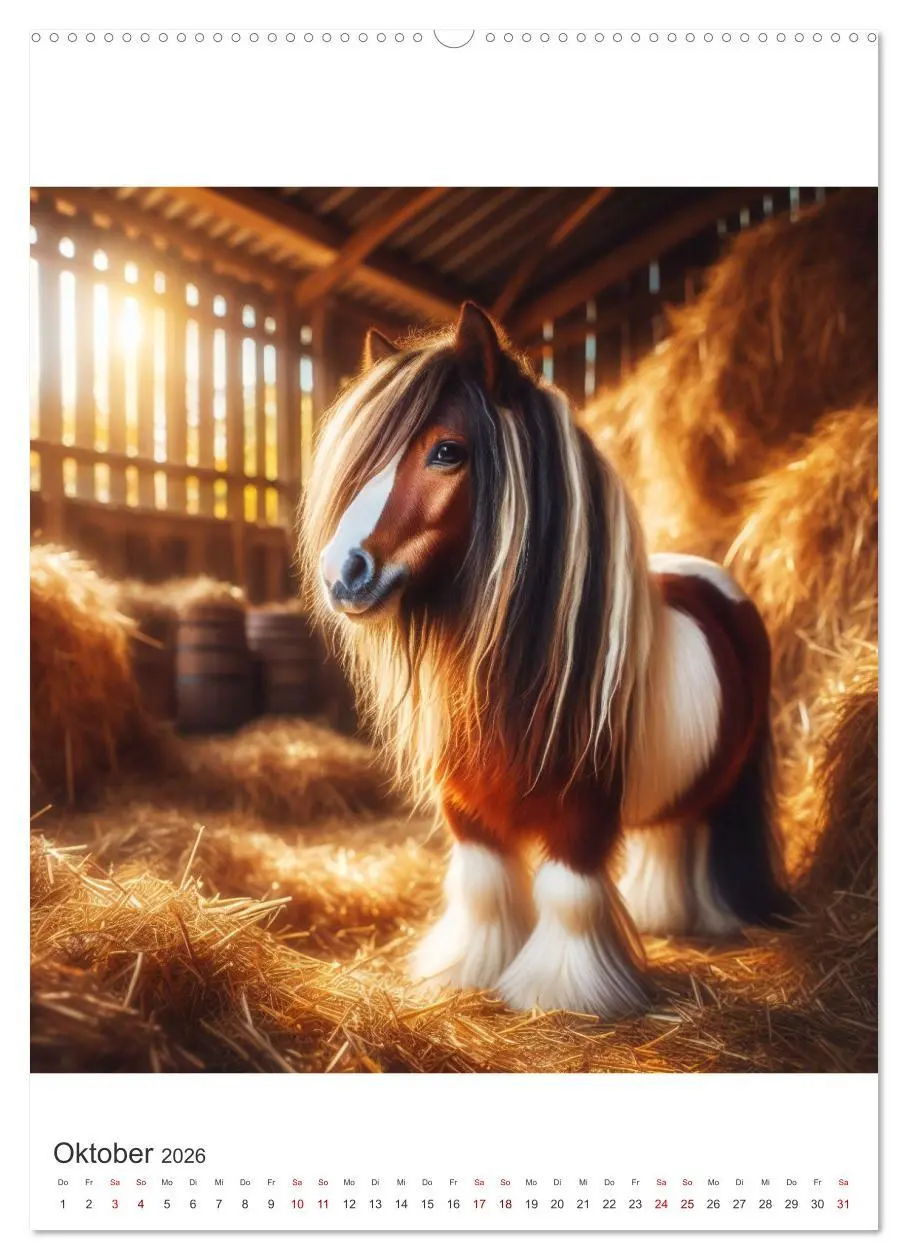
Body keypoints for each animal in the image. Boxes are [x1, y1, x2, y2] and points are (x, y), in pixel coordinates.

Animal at [301, 301, 791, 1019]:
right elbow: (483, 886)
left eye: (448, 451)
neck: (522, 675)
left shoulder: (580, 819)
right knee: (672, 831)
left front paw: (561, 994)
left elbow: (567, 894)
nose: (343, 574)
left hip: (733, 779)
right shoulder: (467, 809)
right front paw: (469, 972)